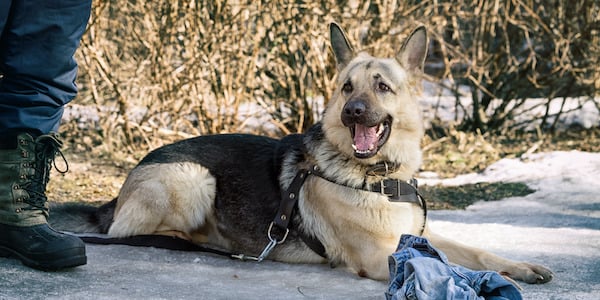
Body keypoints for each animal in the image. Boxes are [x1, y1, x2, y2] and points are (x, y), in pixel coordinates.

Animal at [51, 23, 552, 284]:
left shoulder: (412, 237)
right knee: (133, 231)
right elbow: (443, 262)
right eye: (347, 87)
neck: (378, 176)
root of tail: (117, 192)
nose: (352, 113)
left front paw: (519, 267)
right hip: (195, 177)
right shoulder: (379, 256)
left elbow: (473, 251)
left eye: (381, 87)